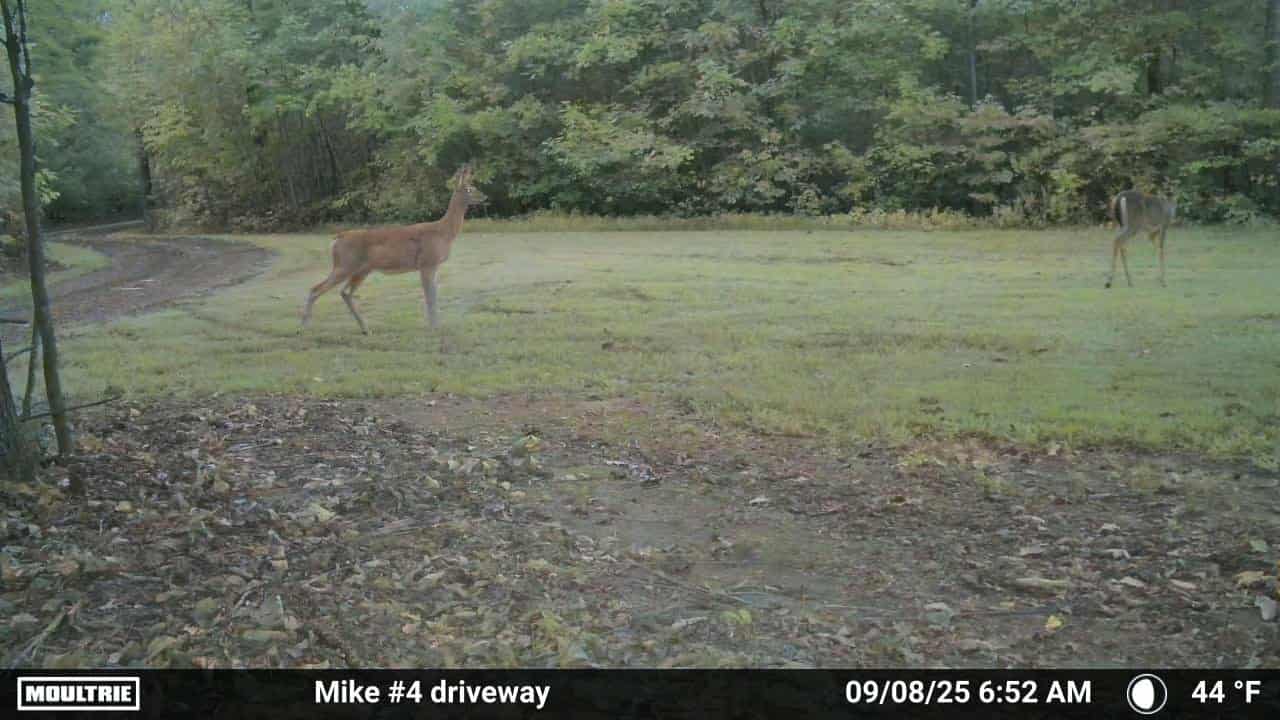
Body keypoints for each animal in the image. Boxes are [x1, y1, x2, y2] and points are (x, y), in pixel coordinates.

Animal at [301, 164, 486, 334]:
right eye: (470, 189)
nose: (485, 196)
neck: (444, 232)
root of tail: (337, 238)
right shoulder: (427, 262)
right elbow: (430, 297)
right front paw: (434, 327)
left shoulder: (433, 266)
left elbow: (434, 295)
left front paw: (437, 325)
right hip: (345, 265)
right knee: (316, 289)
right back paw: (304, 326)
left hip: (361, 269)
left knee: (345, 292)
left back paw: (365, 329)